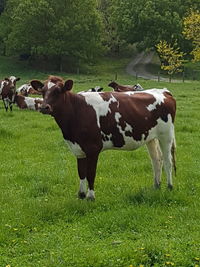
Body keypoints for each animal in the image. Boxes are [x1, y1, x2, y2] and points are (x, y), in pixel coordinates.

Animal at [30, 75, 176, 201]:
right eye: (42, 91)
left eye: (58, 91)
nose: (44, 107)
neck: (77, 111)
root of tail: (163, 91)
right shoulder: (78, 148)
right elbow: (81, 172)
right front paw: (81, 195)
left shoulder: (93, 148)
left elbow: (90, 173)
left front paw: (90, 197)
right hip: (151, 137)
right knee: (156, 160)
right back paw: (156, 185)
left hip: (166, 135)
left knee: (168, 161)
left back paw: (169, 186)